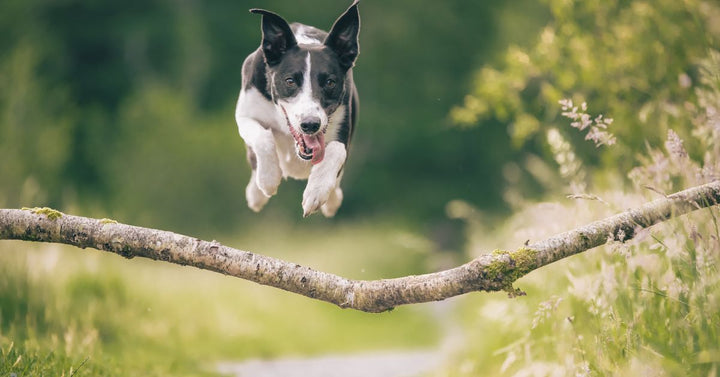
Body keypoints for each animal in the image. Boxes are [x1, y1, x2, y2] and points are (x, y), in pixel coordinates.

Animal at [236, 1, 360, 216]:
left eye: (330, 82)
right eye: (290, 81)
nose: (310, 125)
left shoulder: (343, 126)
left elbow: (337, 149)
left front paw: (317, 192)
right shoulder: (244, 114)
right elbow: (263, 137)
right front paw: (268, 180)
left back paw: (332, 199)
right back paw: (256, 194)